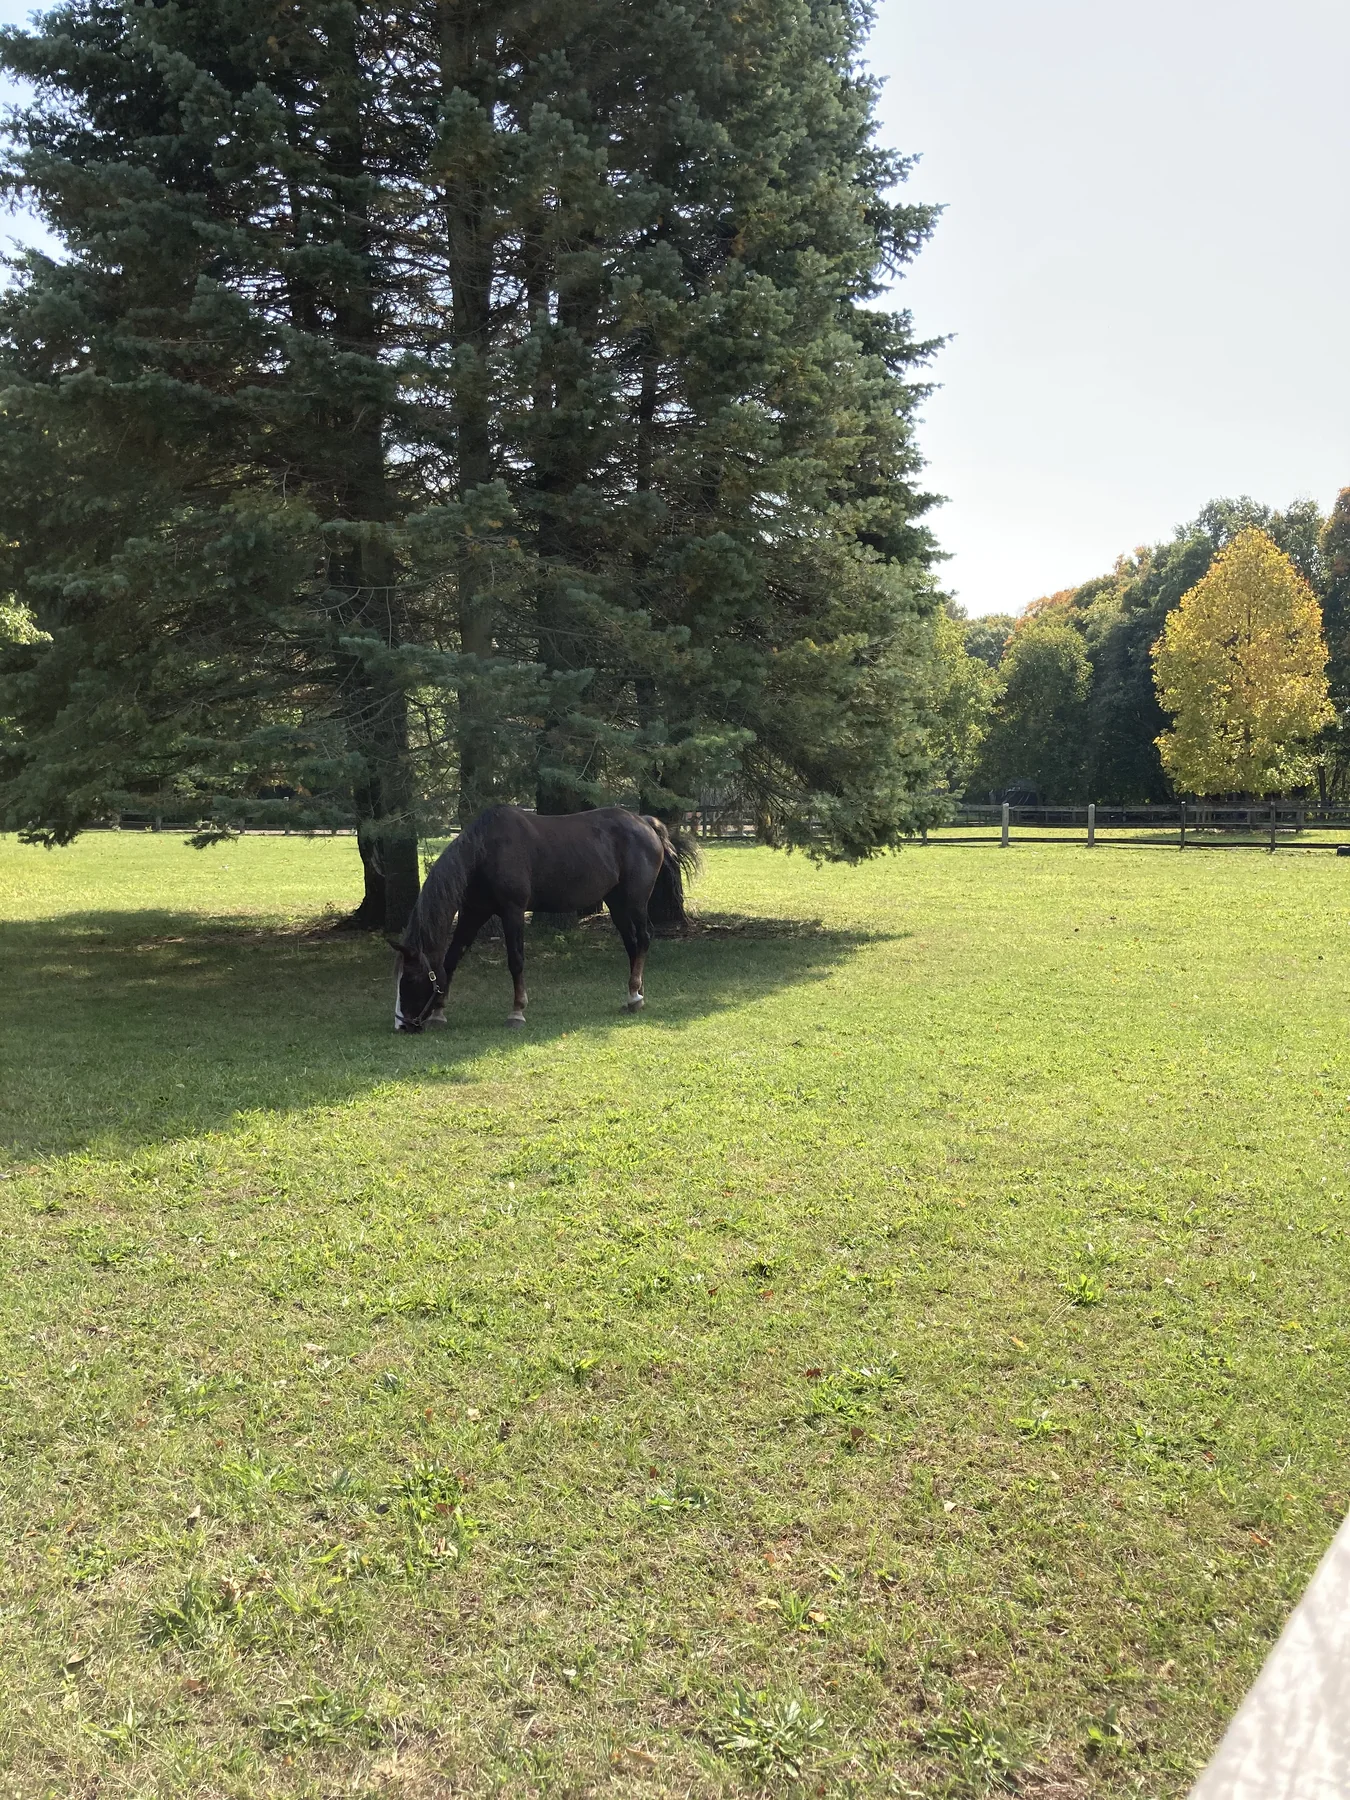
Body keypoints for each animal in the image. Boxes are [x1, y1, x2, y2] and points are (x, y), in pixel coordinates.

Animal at [390, 806, 699, 1032]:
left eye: (409, 980)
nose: (402, 1025)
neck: (485, 852)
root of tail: (645, 822)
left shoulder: (513, 911)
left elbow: (515, 960)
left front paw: (517, 1012)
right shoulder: (472, 913)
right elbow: (451, 960)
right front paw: (439, 1014)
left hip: (635, 901)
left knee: (644, 938)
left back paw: (634, 995)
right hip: (616, 904)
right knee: (632, 944)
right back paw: (635, 993)